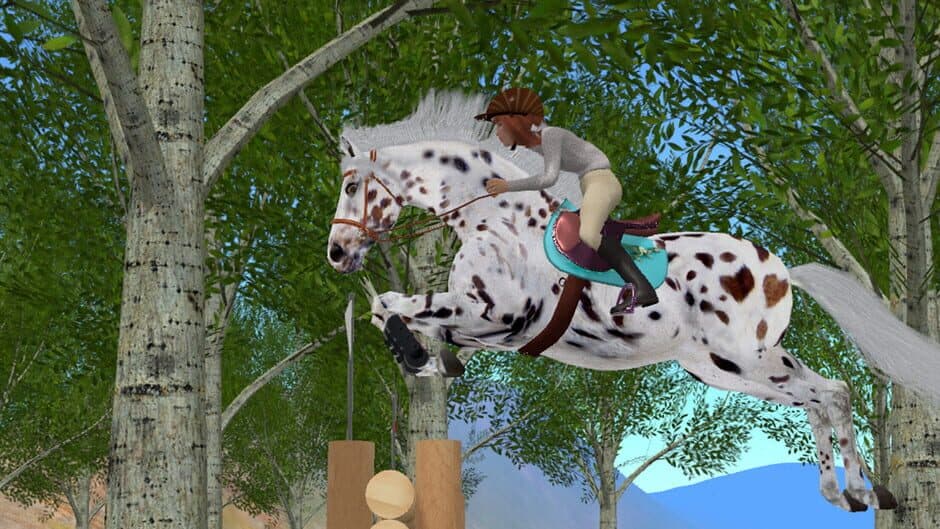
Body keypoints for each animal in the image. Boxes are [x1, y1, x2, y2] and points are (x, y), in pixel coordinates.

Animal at [326, 91, 940, 512]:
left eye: (352, 187)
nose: (336, 252)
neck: (493, 217)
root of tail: (781, 267)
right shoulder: (489, 326)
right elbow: (412, 320)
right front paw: (423, 357)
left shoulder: (495, 315)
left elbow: (396, 304)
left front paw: (411, 349)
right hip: (725, 369)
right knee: (819, 397)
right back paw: (847, 494)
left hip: (748, 357)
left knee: (832, 392)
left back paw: (864, 492)